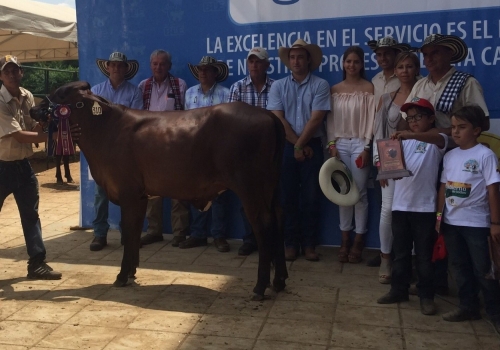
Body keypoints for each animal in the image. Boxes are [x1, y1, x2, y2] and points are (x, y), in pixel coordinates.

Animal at [31, 80, 288, 300]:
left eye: (62, 93)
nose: (35, 109)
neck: (106, 129)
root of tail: (266, 114)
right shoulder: (140, 195)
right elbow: (134, 234)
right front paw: (131, 272)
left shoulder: (128, 193)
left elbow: (129, 232)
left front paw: (121, 276)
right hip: (272, 190)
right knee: (277, 223)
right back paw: (279, 281)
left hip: (251, 188)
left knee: (264, 227)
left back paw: (260, 287)